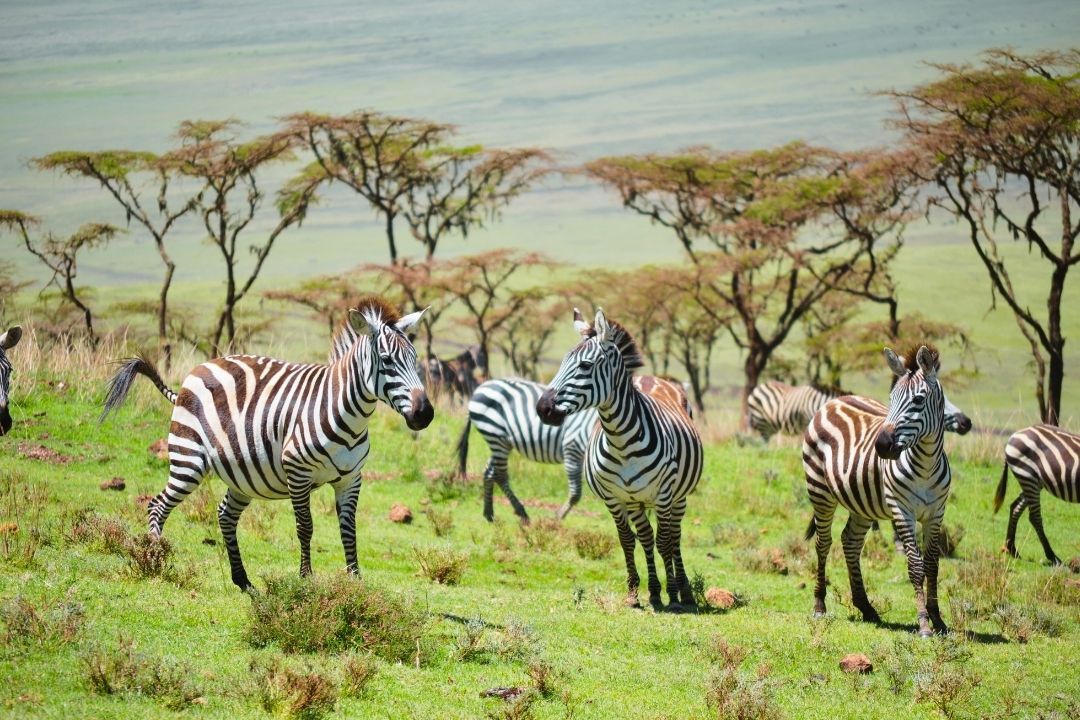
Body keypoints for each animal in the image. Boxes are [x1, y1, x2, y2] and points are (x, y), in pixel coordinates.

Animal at [101, 297, 434, 590]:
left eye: (416, 360)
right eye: (387, 361)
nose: (425, 414)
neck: (347, 412)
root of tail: (197, 370)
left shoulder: (350, 478)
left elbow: (349, 531)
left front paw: (355, 584)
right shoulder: (297, 472)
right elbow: (305, 526)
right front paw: (306, 580)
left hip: (242, 477)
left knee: (225, 515)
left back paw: (243, 582)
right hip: (188, 460)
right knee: (157, 505)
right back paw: (155, 559)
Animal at [457, 374, 691, 523]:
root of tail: (480, 388)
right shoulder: (573, 448)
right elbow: (576, 493)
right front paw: (558, 518)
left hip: (500, 441)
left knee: (489, 472)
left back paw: (489, 513)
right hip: (495, 435)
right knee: (500, 475)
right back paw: (521, 512)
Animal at [537, 309, 703, 611]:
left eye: (585, 366)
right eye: (562, 362)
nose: (543, 408)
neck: (621, 440)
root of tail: (650, 377)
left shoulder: (663, 494)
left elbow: (664, 542)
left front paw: (672, 595)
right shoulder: (616, 498)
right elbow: (629, 540)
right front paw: (638, 593)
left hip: (678, 496)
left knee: (674, 537)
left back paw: (684, 592)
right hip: (638, 501)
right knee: (647, 536)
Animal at [803, 344, 952, 637]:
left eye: (918, 401)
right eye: (891, 399)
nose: (882, 446)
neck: (926, 464)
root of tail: (835, 401)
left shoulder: (936, 513)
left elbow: (932, 565)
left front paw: (938, 619)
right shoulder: (902, 510)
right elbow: (915, 566)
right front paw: (923, 624)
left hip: (861, 503)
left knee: (850, 541)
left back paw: (866, 607)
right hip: (820, 491)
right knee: (823, 543)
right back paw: (819, 605)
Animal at [994, 424, 1080, 566]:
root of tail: (1014, 435)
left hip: (1032, 481)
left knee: (1016, 507)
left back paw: (1011, 549)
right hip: (1028, 477)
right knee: (1034, 517)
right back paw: (1053, 557)